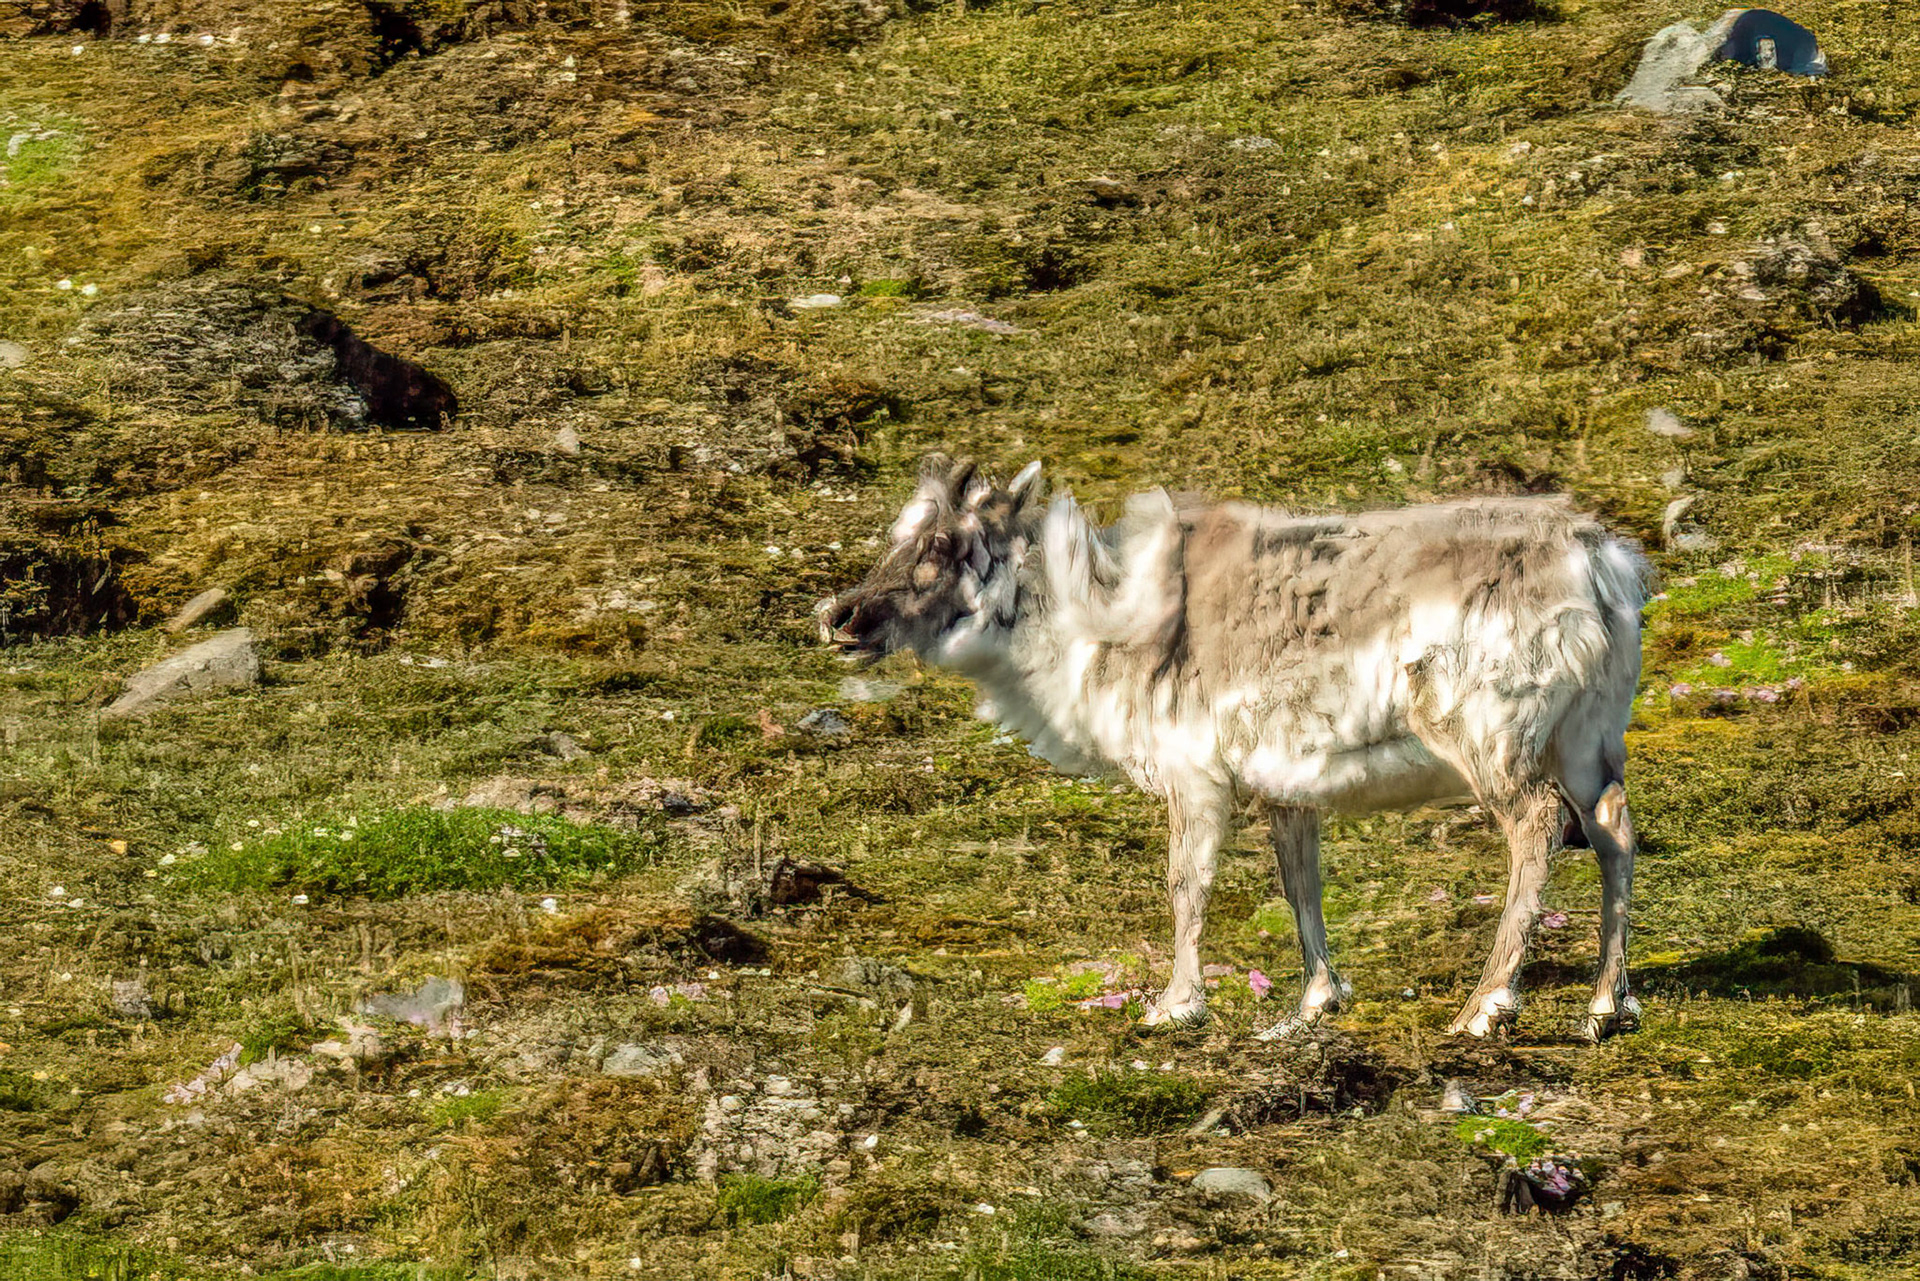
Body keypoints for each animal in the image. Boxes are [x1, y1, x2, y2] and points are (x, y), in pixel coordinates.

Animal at [820, 456, 1651, 1043]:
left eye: (942, 542)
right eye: (897, 535)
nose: (839, 615)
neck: (1088, 624)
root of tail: (1601, 562)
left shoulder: (1191, 768)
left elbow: (1187, 884)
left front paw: (1174, 1004)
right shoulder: (1287, 784)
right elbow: (1299, 881)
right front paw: (1315, 1000)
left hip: (1491, 734)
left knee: (1538, 824)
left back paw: (1485, 1005)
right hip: (1591, 732)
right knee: (1614, 825)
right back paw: (1606, 1004)